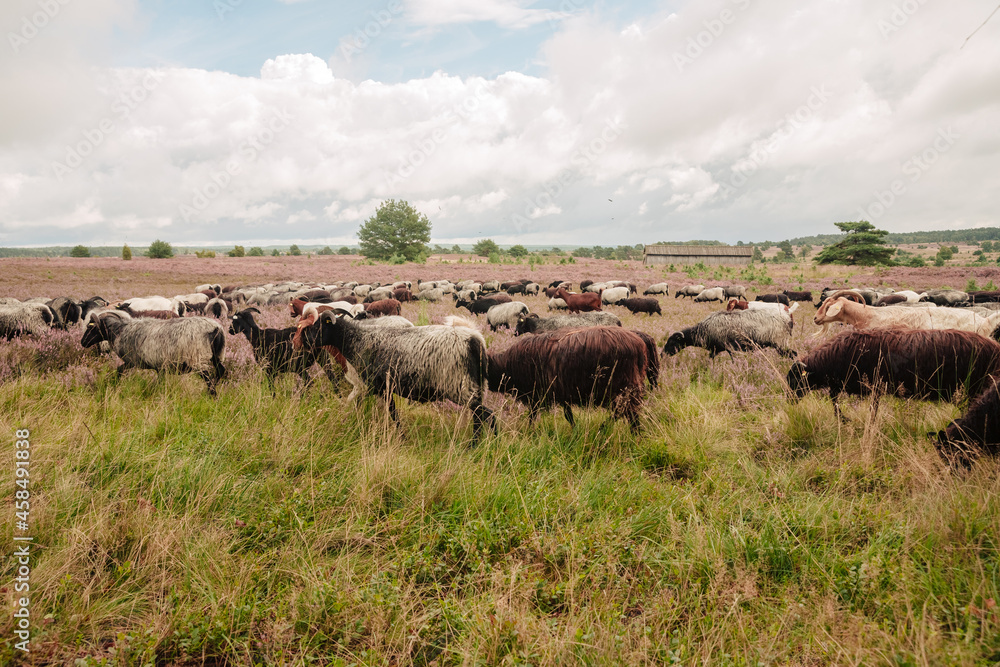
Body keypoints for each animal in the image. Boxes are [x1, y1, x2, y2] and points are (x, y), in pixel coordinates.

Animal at [81, 312, 226, 394]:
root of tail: (216, 328)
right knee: (221, 371)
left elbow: (119, 370)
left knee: (208, 379)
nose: (82, 342)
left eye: (91, 327)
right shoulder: (160, 367)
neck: (119, 331)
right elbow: (160, 381)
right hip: (217, 355)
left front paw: (113, 383)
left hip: (198, 358)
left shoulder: (132, 361)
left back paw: (212, 395)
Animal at [301, 311, 495, 437]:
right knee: (481, 417)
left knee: (486, 416)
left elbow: (390, 412)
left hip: (461, 387)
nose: (303, 339)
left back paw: (477, 445)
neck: (356, 339)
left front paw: (401, 436)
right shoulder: (380, 388)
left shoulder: (378, 386)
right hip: (474, 387)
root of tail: (475, 340)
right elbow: (378, 408)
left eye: (317, 327)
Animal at [487, 327, 653, 430]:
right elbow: (569, 416)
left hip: (624, 388)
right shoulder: (562, 394)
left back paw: (613, 430)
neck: (507, 366)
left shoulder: (538, 395)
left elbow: (532, 417)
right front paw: (575, 429)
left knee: (627, 414)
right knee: (627, 413)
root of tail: (639, 339)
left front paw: (529, 432)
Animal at [662, 308, 795, 358]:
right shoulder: (715, 349)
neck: (704, 330)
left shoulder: (732, 349)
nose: (661, 355)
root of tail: (788, 320)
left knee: (793, 354)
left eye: (672, 342)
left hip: (780, 343)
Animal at [788, 329, 1000, 421]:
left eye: (795, 379)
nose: (789, 402)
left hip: (973, 390)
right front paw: (843, 419)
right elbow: (835, 399)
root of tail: (994, 347)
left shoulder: (872, 387)